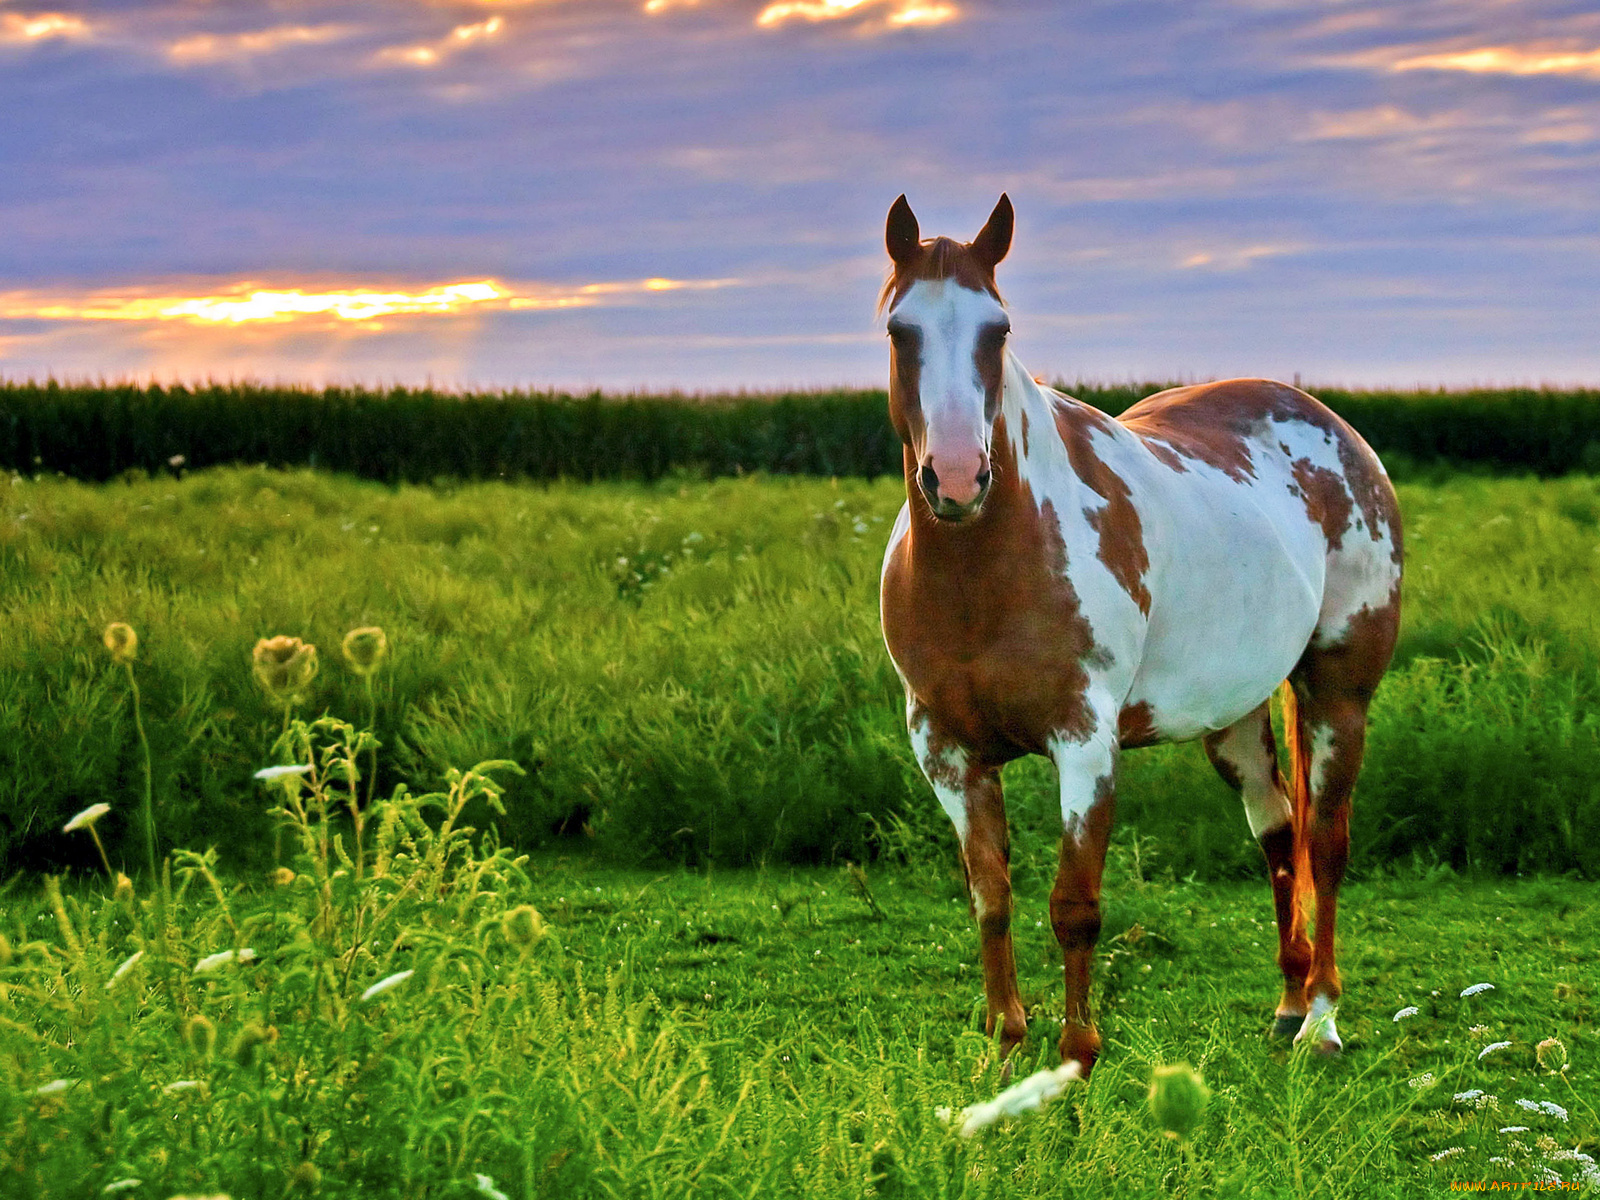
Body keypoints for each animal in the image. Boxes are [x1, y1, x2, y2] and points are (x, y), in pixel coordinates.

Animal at [876, 192, 1401, 1075]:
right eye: (899, 329)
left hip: (1339, 695)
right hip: (1235, 716)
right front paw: (1004, 1052)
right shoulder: (944, 751)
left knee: (1325, 844)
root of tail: (1337, 434)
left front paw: (1076, 1057)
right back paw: (1289, 1005)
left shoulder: (1085, 742)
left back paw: (1324, 1020)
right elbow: (990, 899)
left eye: (999, 329)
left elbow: (1075, 905)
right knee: (1278, 832)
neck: (986, 569)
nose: (955, 477)